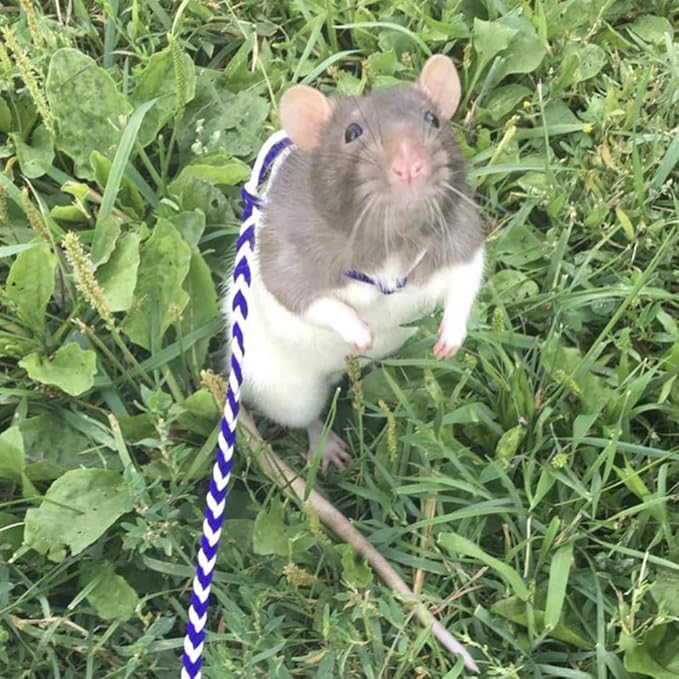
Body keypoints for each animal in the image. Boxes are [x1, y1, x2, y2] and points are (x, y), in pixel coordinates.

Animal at [224, 55, 485, 475]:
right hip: (287, 390)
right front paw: (358, 331)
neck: (394, 245)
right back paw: (325, 443)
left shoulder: (459, 227)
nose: (409, 166)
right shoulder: (289, 252)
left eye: (432, 119)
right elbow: (300, 296)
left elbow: (467, 274)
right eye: (352, 132)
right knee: (306, 416)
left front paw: (452, 335)